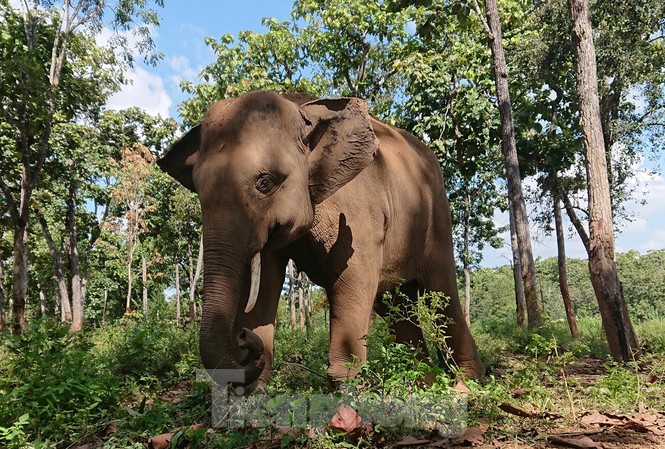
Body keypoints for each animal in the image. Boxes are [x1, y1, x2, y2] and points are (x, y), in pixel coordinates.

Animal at [158, 90, 485, 390]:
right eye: (197, 188)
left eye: (265, 183)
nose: (242, 338)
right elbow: (265, 286)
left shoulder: (358, 211)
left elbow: (352, 275)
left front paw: (345, 397)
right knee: (394, 304)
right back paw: (423, 384)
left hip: (438, 218)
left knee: (442, 294)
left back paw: (464, 387)